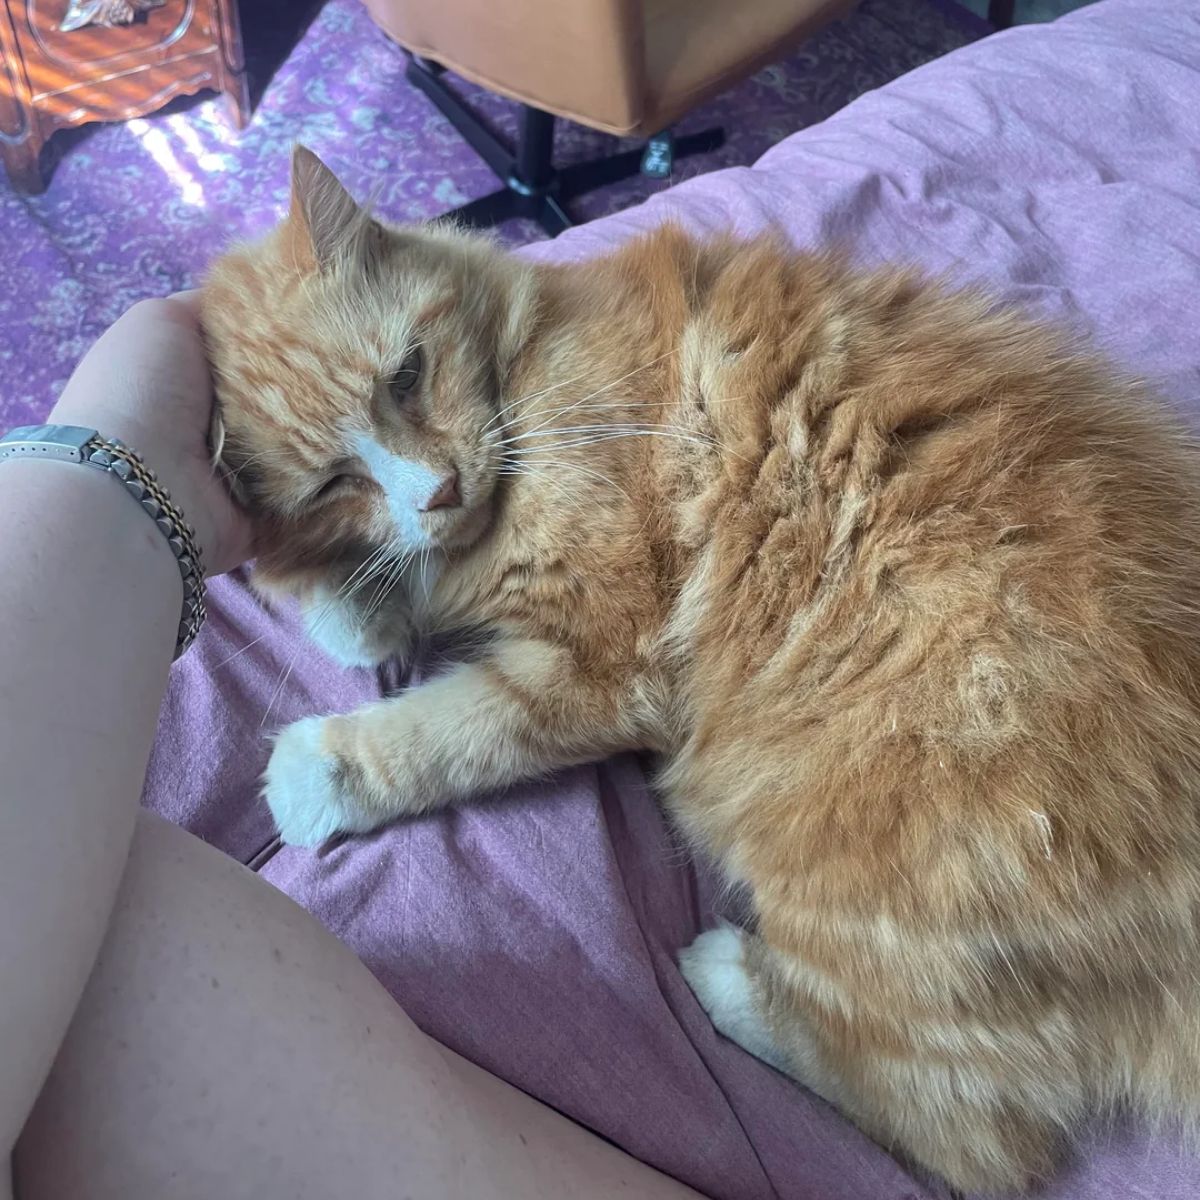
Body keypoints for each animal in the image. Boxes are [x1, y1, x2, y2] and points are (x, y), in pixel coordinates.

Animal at [201, 147, 1200, 1190]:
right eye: (334, 481)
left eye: (407, 375)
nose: (436, 492)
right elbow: (361, 606)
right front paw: (331, 585)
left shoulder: (605, 668)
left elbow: (448, 729)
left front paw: (320, 770)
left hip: (838, 859)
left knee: (961, 1130)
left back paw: (728, 979)